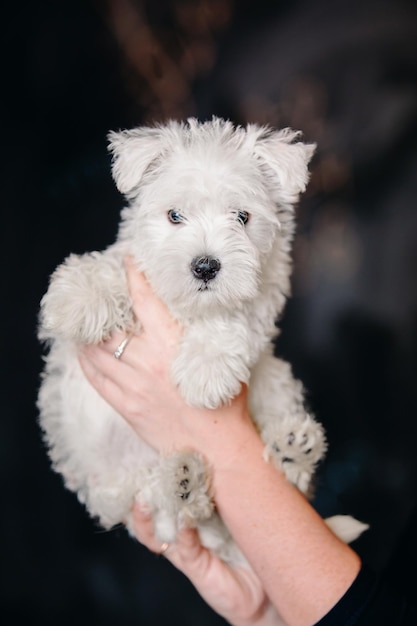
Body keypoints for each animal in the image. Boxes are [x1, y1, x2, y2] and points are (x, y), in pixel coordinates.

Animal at [37, 118, 366, 564]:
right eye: (175, 215)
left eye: (242, 217)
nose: (206, 267)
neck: (188, 306)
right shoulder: (133, 263)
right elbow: (111, 264)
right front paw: (82, 296)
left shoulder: (262, 293)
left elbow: (231, 318)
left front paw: (205, 370)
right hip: (114, 478)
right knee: (169, 513)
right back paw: (184, 483)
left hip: (276, 379)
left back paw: (291, 448)